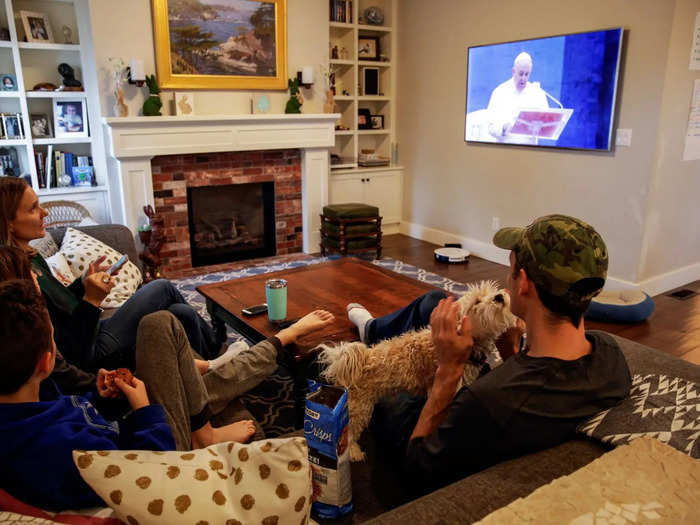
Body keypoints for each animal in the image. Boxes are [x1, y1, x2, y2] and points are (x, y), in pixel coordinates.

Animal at [320, 280, 516, 460]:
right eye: (477, 302)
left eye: (492, 291)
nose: (499, 296)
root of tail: (358, 359)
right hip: (360, 406)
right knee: (350, 430)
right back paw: (353, 452)